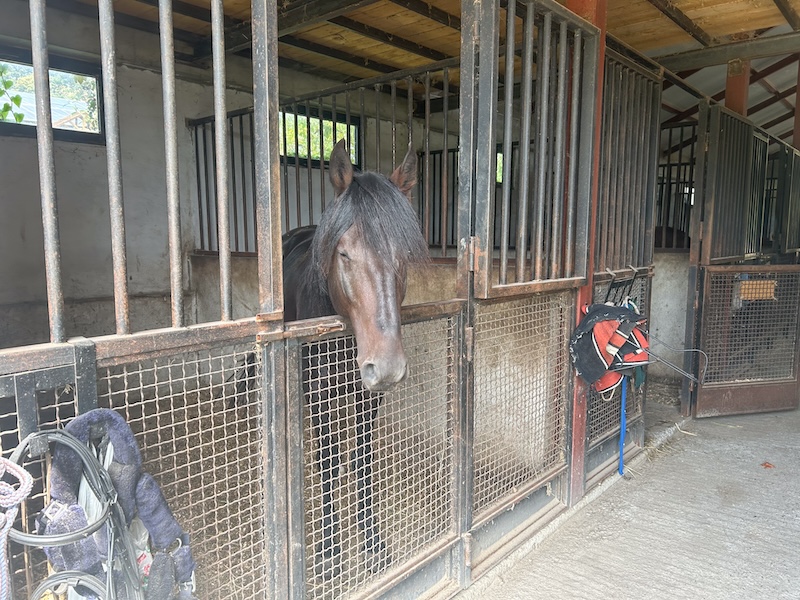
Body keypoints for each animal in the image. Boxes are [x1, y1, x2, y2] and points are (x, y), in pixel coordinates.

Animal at [282, 139, 428, 576]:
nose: (388, 366)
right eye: (344, 254)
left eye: (405, 255)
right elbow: (329, 461)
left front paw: (374, 544)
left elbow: (362, 461)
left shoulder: (369, 397)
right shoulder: (318, 395)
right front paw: (330, 552)